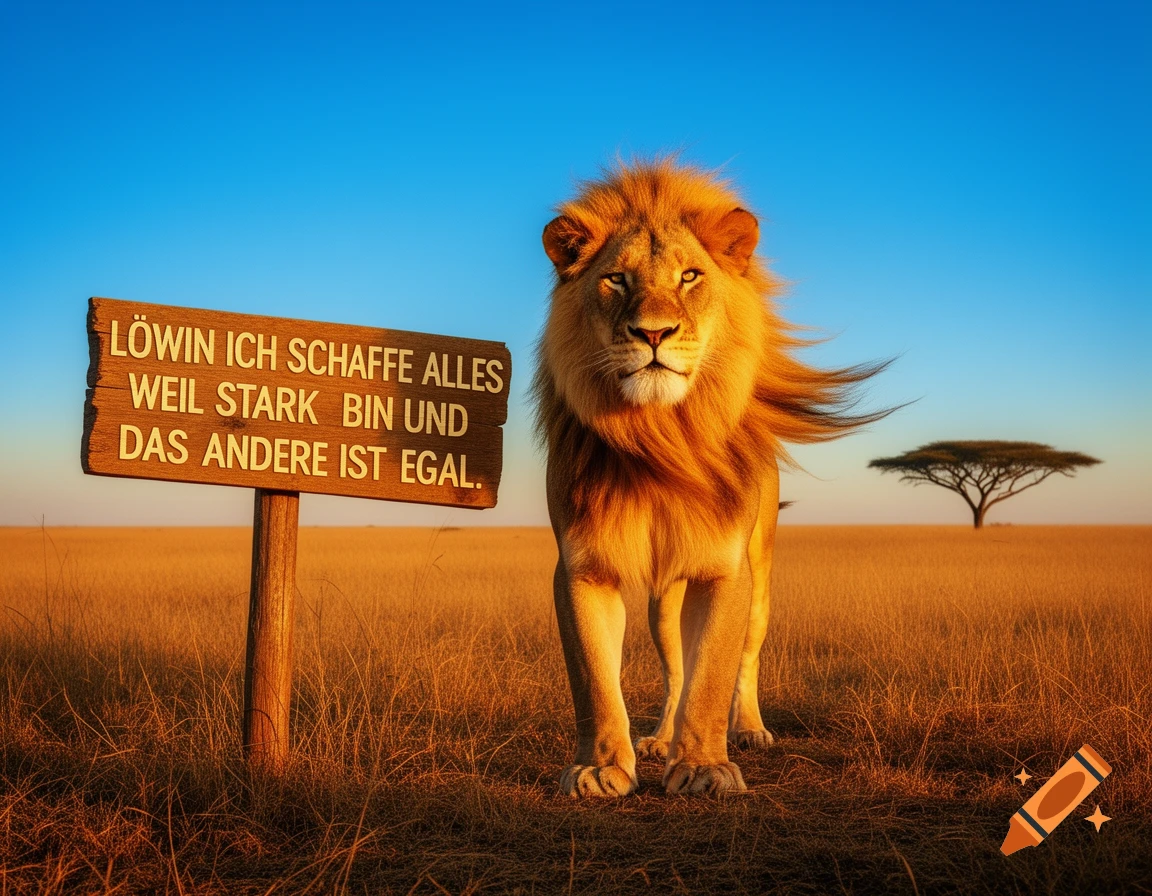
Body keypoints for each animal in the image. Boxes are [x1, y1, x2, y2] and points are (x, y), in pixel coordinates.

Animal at [533, 160, 887, 797]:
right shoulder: (581, 564)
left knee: (745, 660)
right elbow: (595, 678)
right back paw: (658, 738)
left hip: (761, 578)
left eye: (690, 275)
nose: (653, 334)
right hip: (662, 602)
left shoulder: (725, 568)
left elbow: (715, 672)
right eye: (616, 280)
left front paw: (703, 766)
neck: (659, 435)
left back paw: (748, 730)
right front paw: (601, 767)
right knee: (674, 667)